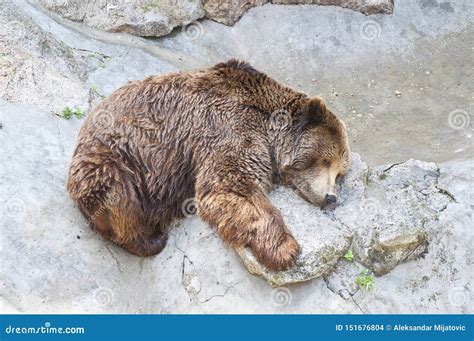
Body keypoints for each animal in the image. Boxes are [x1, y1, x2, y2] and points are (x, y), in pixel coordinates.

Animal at [65, 59, 348, 270]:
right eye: (325, 160)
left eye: (340, 173)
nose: (331, 197)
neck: (267, 121)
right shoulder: (229, 124)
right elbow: (232, 184)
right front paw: (285, 249)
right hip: (114, 159)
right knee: (117, 194)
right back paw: (151, 238)